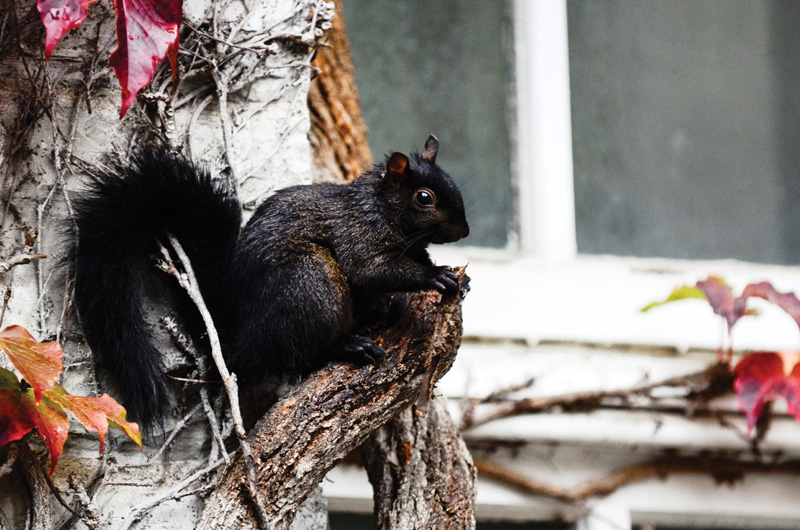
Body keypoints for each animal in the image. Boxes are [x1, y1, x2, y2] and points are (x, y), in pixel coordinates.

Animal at [70, 135, 469, 432]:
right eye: (424, 198)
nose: (464, 231)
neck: (383, 208)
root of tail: (247, 339)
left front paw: (453, 279)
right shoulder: (359, 235)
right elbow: (371, 270)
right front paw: (436, 277)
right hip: (312, 284)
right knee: (303, 354)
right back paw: (350, 345)